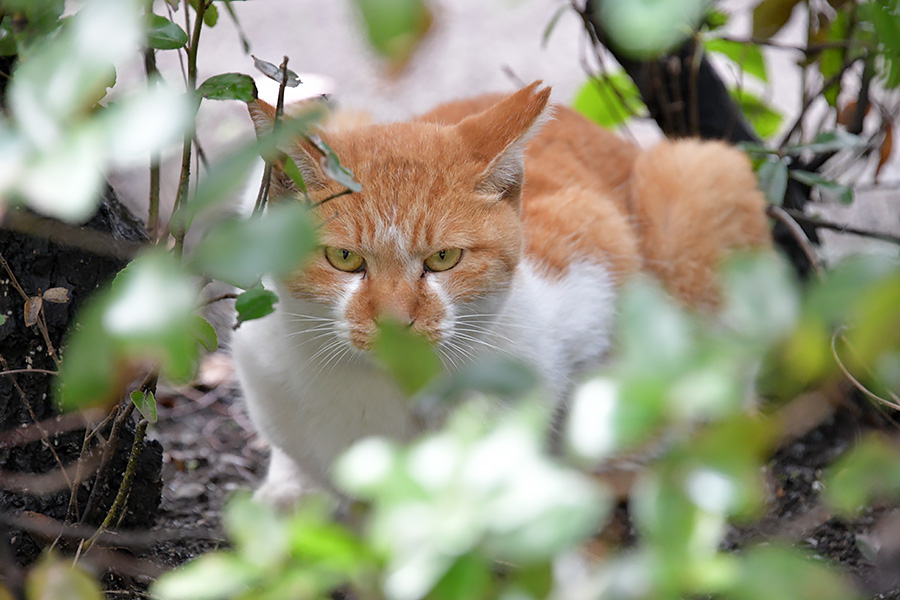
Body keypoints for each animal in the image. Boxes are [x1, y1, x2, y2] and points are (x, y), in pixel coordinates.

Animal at [229, 81, 768, 506]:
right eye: (343, 258)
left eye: (444, 258)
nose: (395, 323)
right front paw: (294, 487)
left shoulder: (595, 251)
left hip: (700, 173)